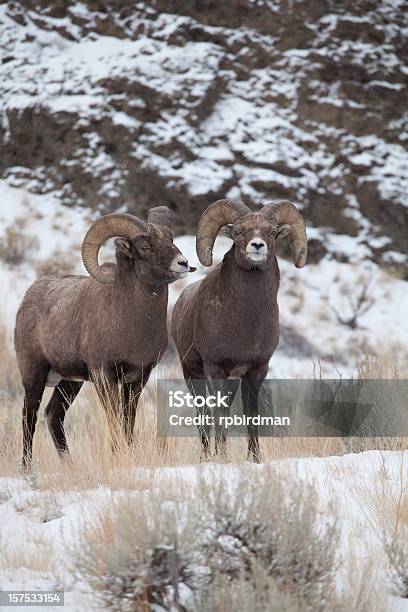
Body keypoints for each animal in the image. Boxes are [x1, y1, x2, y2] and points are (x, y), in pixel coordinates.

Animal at [15, 206, 194, 468]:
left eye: (170, 240)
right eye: (144, 247)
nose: (182, 263)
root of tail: (28, 296)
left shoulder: (137, 379)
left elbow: (127, 423)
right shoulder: (104, 376)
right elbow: (115, 421)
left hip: (70, 383)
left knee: (53, 415)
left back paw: (70, 465)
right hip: (34, 375)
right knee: (29, 417)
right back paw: (27, 469)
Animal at [171, 198, 308, 462]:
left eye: (272, 232)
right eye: (238, 232)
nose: (257, 246)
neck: (245, 322)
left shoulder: (255, 371)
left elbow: (251, 415)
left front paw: (255, 458)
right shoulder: (215, 369)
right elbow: (219, 415)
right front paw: (223, 458)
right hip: (192, 374)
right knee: (204, 413)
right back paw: (207, 456)